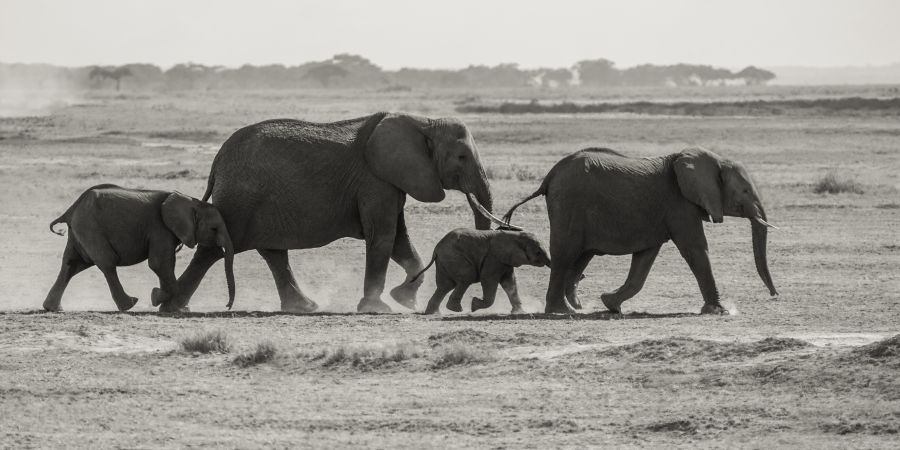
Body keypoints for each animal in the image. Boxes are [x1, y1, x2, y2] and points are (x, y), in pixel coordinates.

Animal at [44, 185, 236, 312]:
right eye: (214, 229)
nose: (227, 306)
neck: (191, 201)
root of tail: (70, 210)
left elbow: (165, 264)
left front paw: (163, 299)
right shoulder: (159, 227)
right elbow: (159, 263)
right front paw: (156, 297)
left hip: (80, 231)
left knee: (71, 265)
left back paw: (54, 308)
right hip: (90, 227)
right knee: (107, 263)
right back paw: (129, 304)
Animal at [157, 112, 510, 312]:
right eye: (462, 157)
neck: (421, 122)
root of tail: (217, 161)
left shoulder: (388, 180)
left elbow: (398, 239)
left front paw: (404, 300)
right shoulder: (375, 180)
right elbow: (383, 235)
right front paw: (379, 308)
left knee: (273, 253)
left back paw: (304, 307)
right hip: (240, 201)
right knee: (214, 250)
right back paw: (172, 307)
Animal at [416, 227, 556, 314]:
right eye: (538, 253)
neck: (515, 236)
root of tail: (437, 249)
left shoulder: (505, 261)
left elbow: (510, 283)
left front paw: (519, 312)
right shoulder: (493, 258)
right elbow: (488, 279)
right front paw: (474, 305)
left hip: (445, 261)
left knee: (445, 285)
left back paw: (434, 313)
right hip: (454, 257)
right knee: (466, 277)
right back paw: (456, 309)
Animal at [502, 147, 776, 312]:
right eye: (745, 191)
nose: (775, 295)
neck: (714, 159)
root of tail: (549, 176)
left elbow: (644, 260)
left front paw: (610, 303)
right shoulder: (679, 204)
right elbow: (695, 249)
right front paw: (719, 311)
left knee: (579, 258)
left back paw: (576, 307)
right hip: (568, 204)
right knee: (565, 254)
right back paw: (562, 311)